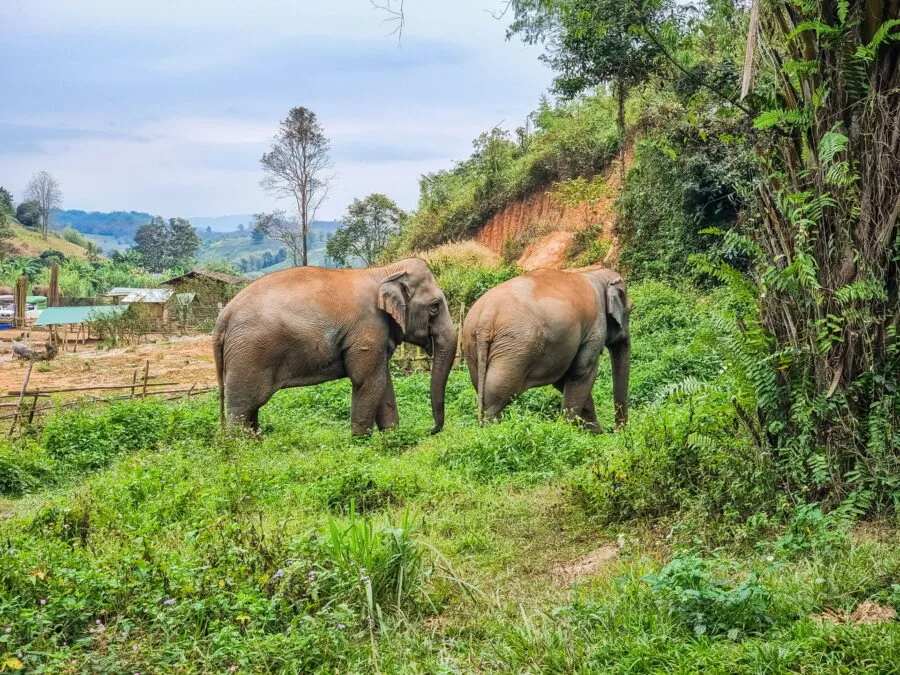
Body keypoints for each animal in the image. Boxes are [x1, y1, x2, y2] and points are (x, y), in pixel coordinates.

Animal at [213, 258, 458, 435]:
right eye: (435, 306)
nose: (430, 430)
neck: (384, 271)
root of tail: (223, 317)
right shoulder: (368, 328)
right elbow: (367, 381)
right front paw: (361, 444)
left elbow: (383, 381)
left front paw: (392, 439)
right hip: (249, 355)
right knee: (242, 408)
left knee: (249, 411)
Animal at [462, 265, 631, 432]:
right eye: (630, 309)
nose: (616, 429)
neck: (594, 274)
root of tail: (486, 317)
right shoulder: (595, 327)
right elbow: (582, 371)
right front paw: (570, 430)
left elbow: (563, 379)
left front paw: (592, 432)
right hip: (514, 347)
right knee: (497, 395)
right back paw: (494, 430)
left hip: (473, 344)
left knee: (483, 390)